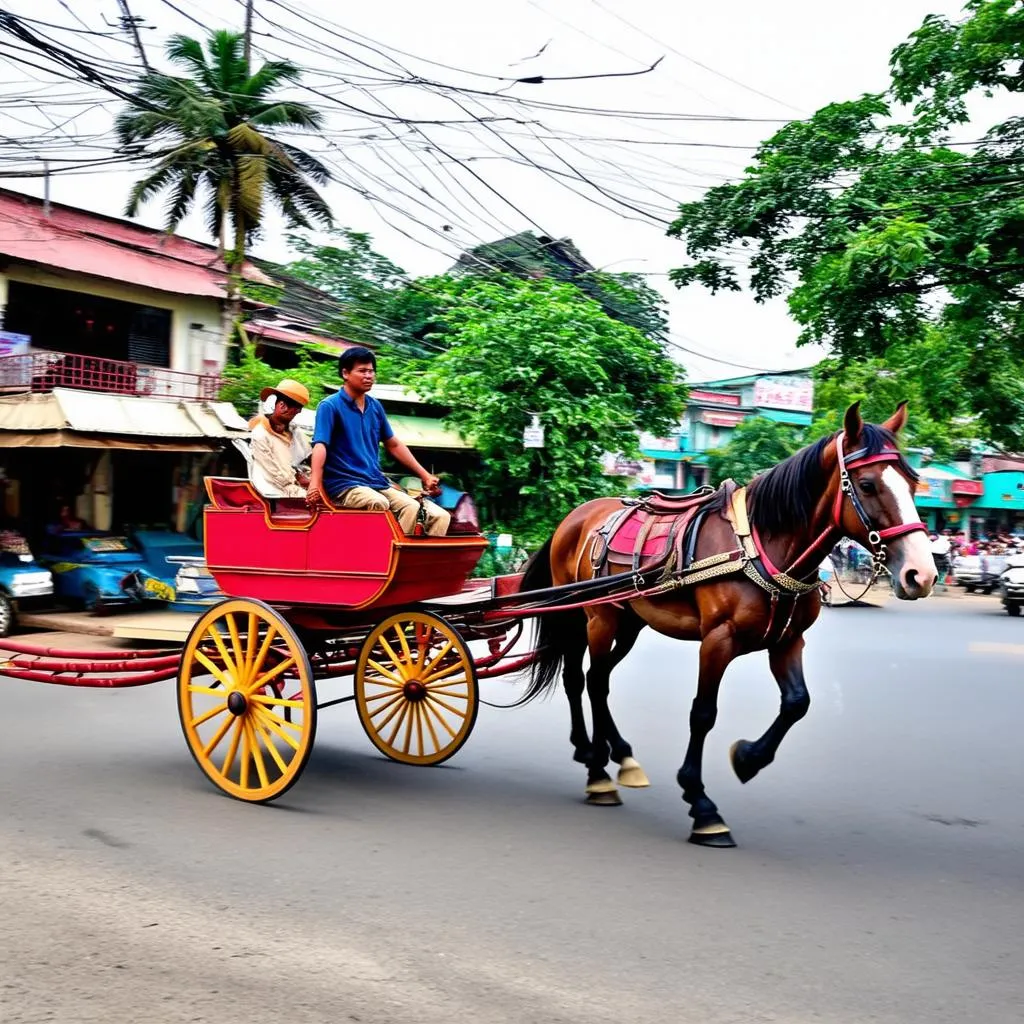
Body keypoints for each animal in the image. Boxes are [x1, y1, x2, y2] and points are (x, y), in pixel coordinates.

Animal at [520, 403, 937, 843]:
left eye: (913, 483)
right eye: (869, 484)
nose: (920, 574)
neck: (763, 545)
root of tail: (574, 517)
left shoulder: (788, 640)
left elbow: (797, 703)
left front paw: (748, 758)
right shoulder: (717, 639)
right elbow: (703, 713)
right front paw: (701, 803)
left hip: (629, 621)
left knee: (594, 679)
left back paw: (616, 754)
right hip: (591, 616)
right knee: (586, 680)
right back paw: (597, 768)